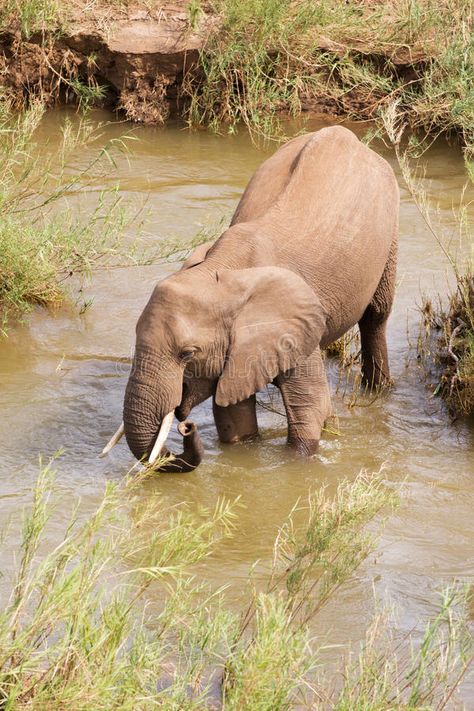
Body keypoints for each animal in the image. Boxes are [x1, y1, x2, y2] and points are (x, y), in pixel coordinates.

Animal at [101, 128, 400, 472]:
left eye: (187, 354)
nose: (185, 426)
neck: (222, 271)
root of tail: (349, 136)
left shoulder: (293, 324)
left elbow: (310, 411)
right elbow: (233, 417)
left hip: (390, 225)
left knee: (376, 315)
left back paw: (379, 391)